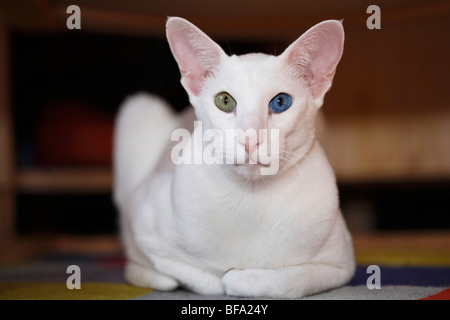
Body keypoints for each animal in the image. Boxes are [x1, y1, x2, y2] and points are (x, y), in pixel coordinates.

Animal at [112, 16, 356, 298]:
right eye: (225, 101)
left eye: (280, 102)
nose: (250, 137)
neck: (251, 202)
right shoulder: (140, 218)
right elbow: (203, 278)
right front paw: (219, 276)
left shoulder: (341, 264)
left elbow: (286, 281)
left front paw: (242, 277)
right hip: (138, 109)